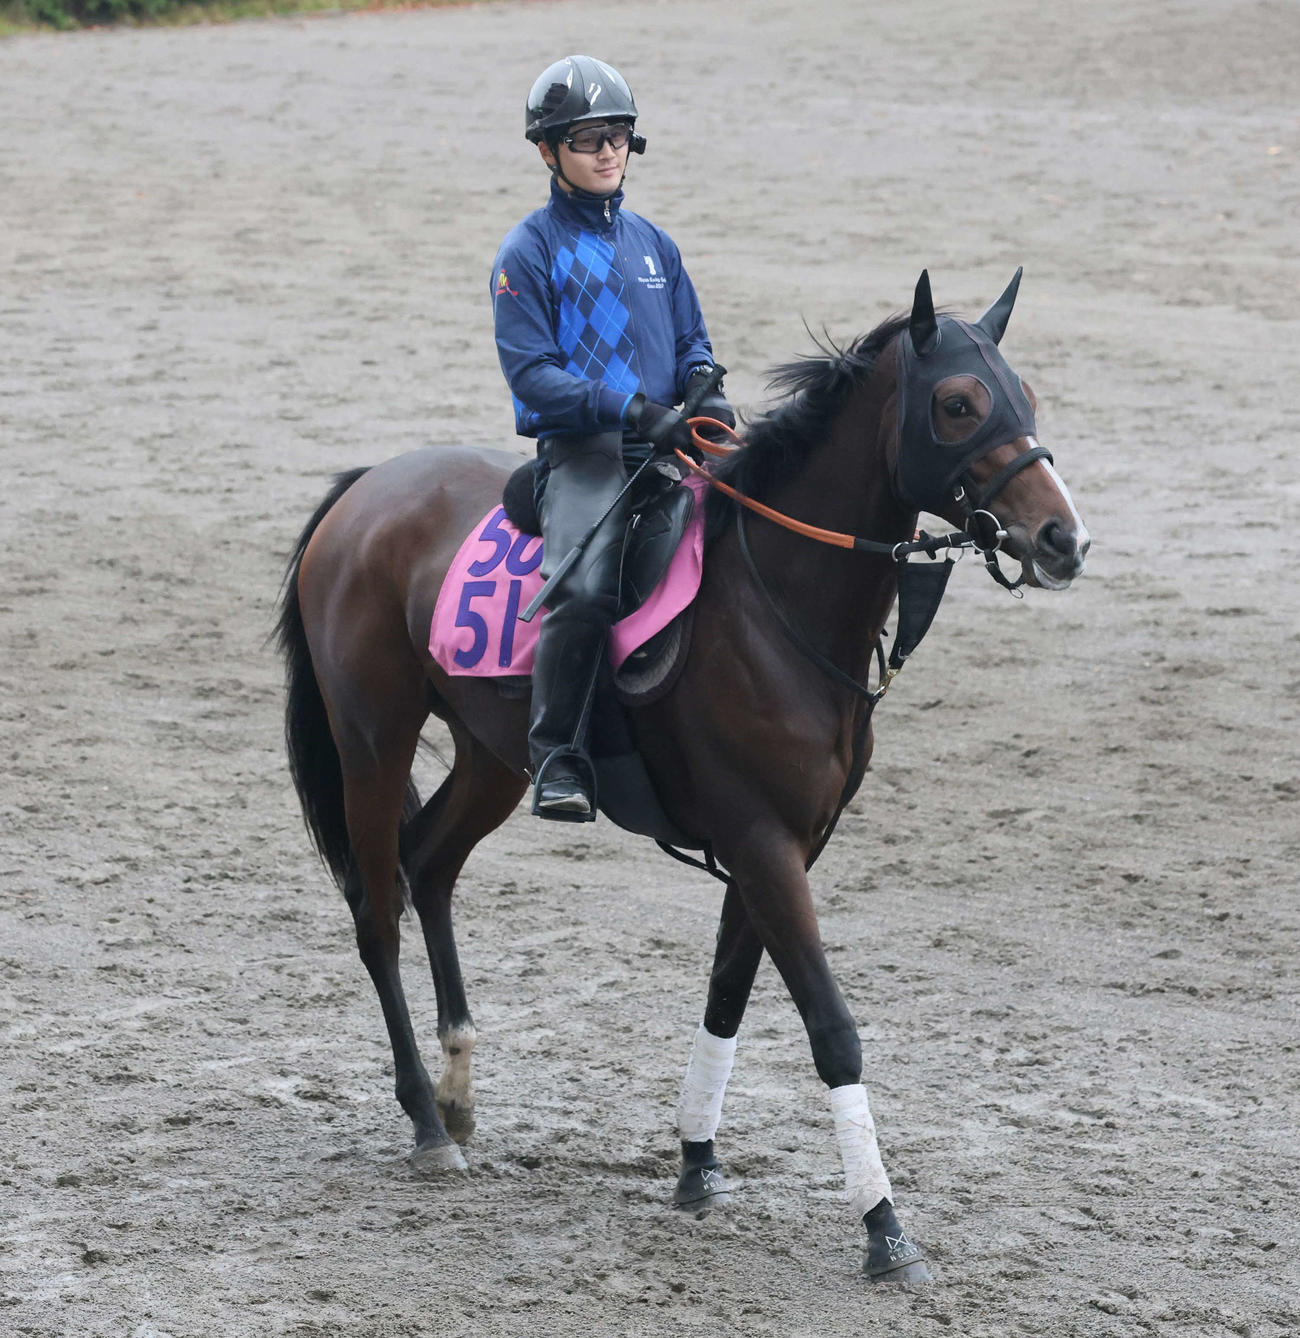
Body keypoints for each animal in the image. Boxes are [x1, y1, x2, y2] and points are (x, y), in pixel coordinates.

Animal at [275, 270, 1089, 1282]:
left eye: (1026, 397)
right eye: (958, 404)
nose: (1062, 538)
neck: (775, 604)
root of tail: (365, 488)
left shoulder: (784, 844)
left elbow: (727, 997)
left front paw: (698, 1163)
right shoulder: (761, 840)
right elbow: (831, 1028)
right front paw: (885, 1228)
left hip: (492, 754)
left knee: (427, 867)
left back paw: (460, 1087)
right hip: (374, 739)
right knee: (377, 905)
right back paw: (427, 1122)